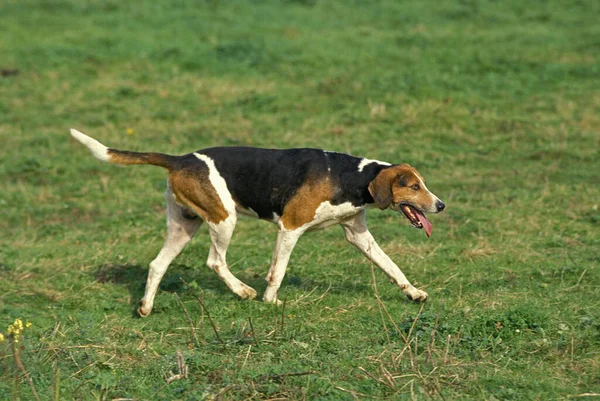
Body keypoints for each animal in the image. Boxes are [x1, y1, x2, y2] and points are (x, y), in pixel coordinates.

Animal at [70, 129, 446, 316]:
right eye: (414, 187)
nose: (440, 205)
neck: (350, 177)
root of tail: (180, 159)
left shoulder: (358, 234)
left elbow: (392, 266)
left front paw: (413, 293)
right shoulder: (290, 227)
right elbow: (277, 272)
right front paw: (270, 301)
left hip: (184, 226)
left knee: (156, 265)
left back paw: (146, 307)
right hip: (224, 219)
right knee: (215, 261)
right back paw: (242, 291)